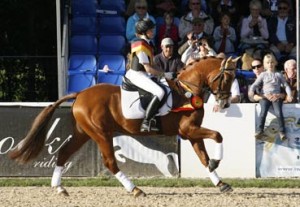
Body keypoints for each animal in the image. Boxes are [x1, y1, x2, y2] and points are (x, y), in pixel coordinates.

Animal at [8, 56, 239, 197]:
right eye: (227, 77)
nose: (225, 103)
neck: (187, 90)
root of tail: (80, 93)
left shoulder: (191, 133)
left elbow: (204, 157)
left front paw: (221, 182)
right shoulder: (188, 130)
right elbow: (218, 136)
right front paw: (217, 162)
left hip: (84, 133)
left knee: (64, 153)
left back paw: (59, 188)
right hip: (101, 134)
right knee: (110, 162)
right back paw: (135, 189)